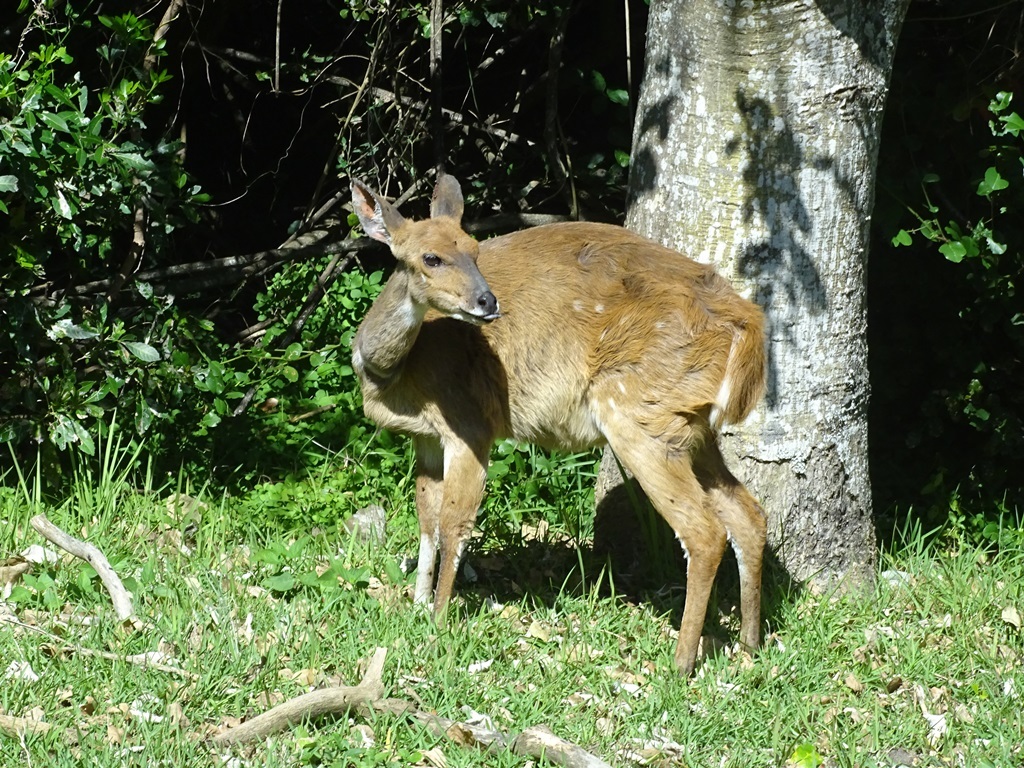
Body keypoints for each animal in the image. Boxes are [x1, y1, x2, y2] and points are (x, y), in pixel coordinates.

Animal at [348, 176, 765, 679]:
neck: (396, 373)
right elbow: (426, 518)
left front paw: (439, 620)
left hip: (638, 415)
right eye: (431, 257)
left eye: (474, 249)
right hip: (692, 427)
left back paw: (680, 663)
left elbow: (454, 523)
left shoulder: (469, 426)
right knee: (749, 514)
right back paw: (749, 644)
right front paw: (416, 604)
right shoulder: (426, 438)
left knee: (703, 531)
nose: (487, 301)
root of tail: (748, 326)